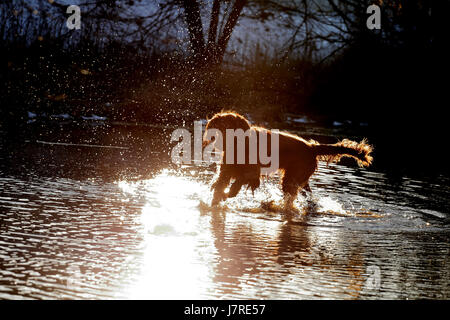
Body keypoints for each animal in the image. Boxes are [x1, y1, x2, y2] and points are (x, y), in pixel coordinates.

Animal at [204, 112, 372, 208]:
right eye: (219, 126)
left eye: (228, 125)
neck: (239, 144)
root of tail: (311, 147)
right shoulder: (226, 171)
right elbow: (221, 185)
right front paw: (215, 200)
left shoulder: (251, 174)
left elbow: (235, 187)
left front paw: (223, 196)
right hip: (299, 179)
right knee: (307, 197)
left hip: (291, 179)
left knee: (291, 198)